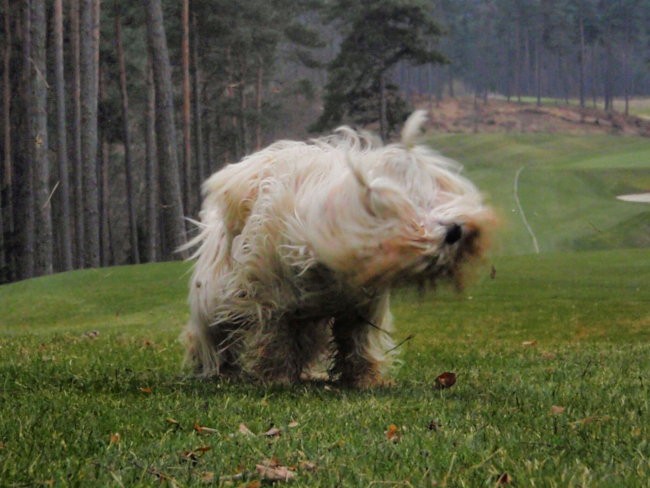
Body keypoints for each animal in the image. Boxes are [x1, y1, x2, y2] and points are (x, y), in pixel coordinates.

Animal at [182, 111, 492, 388]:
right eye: (403, 213)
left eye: (433, 197)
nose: (455, 231)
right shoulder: (272, 297)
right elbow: (277, 337)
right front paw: (277, 377)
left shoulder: (361, 305)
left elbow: (358, 339)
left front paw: (365, 379)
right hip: (216, 293)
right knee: (216, 332)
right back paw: (220, 369)